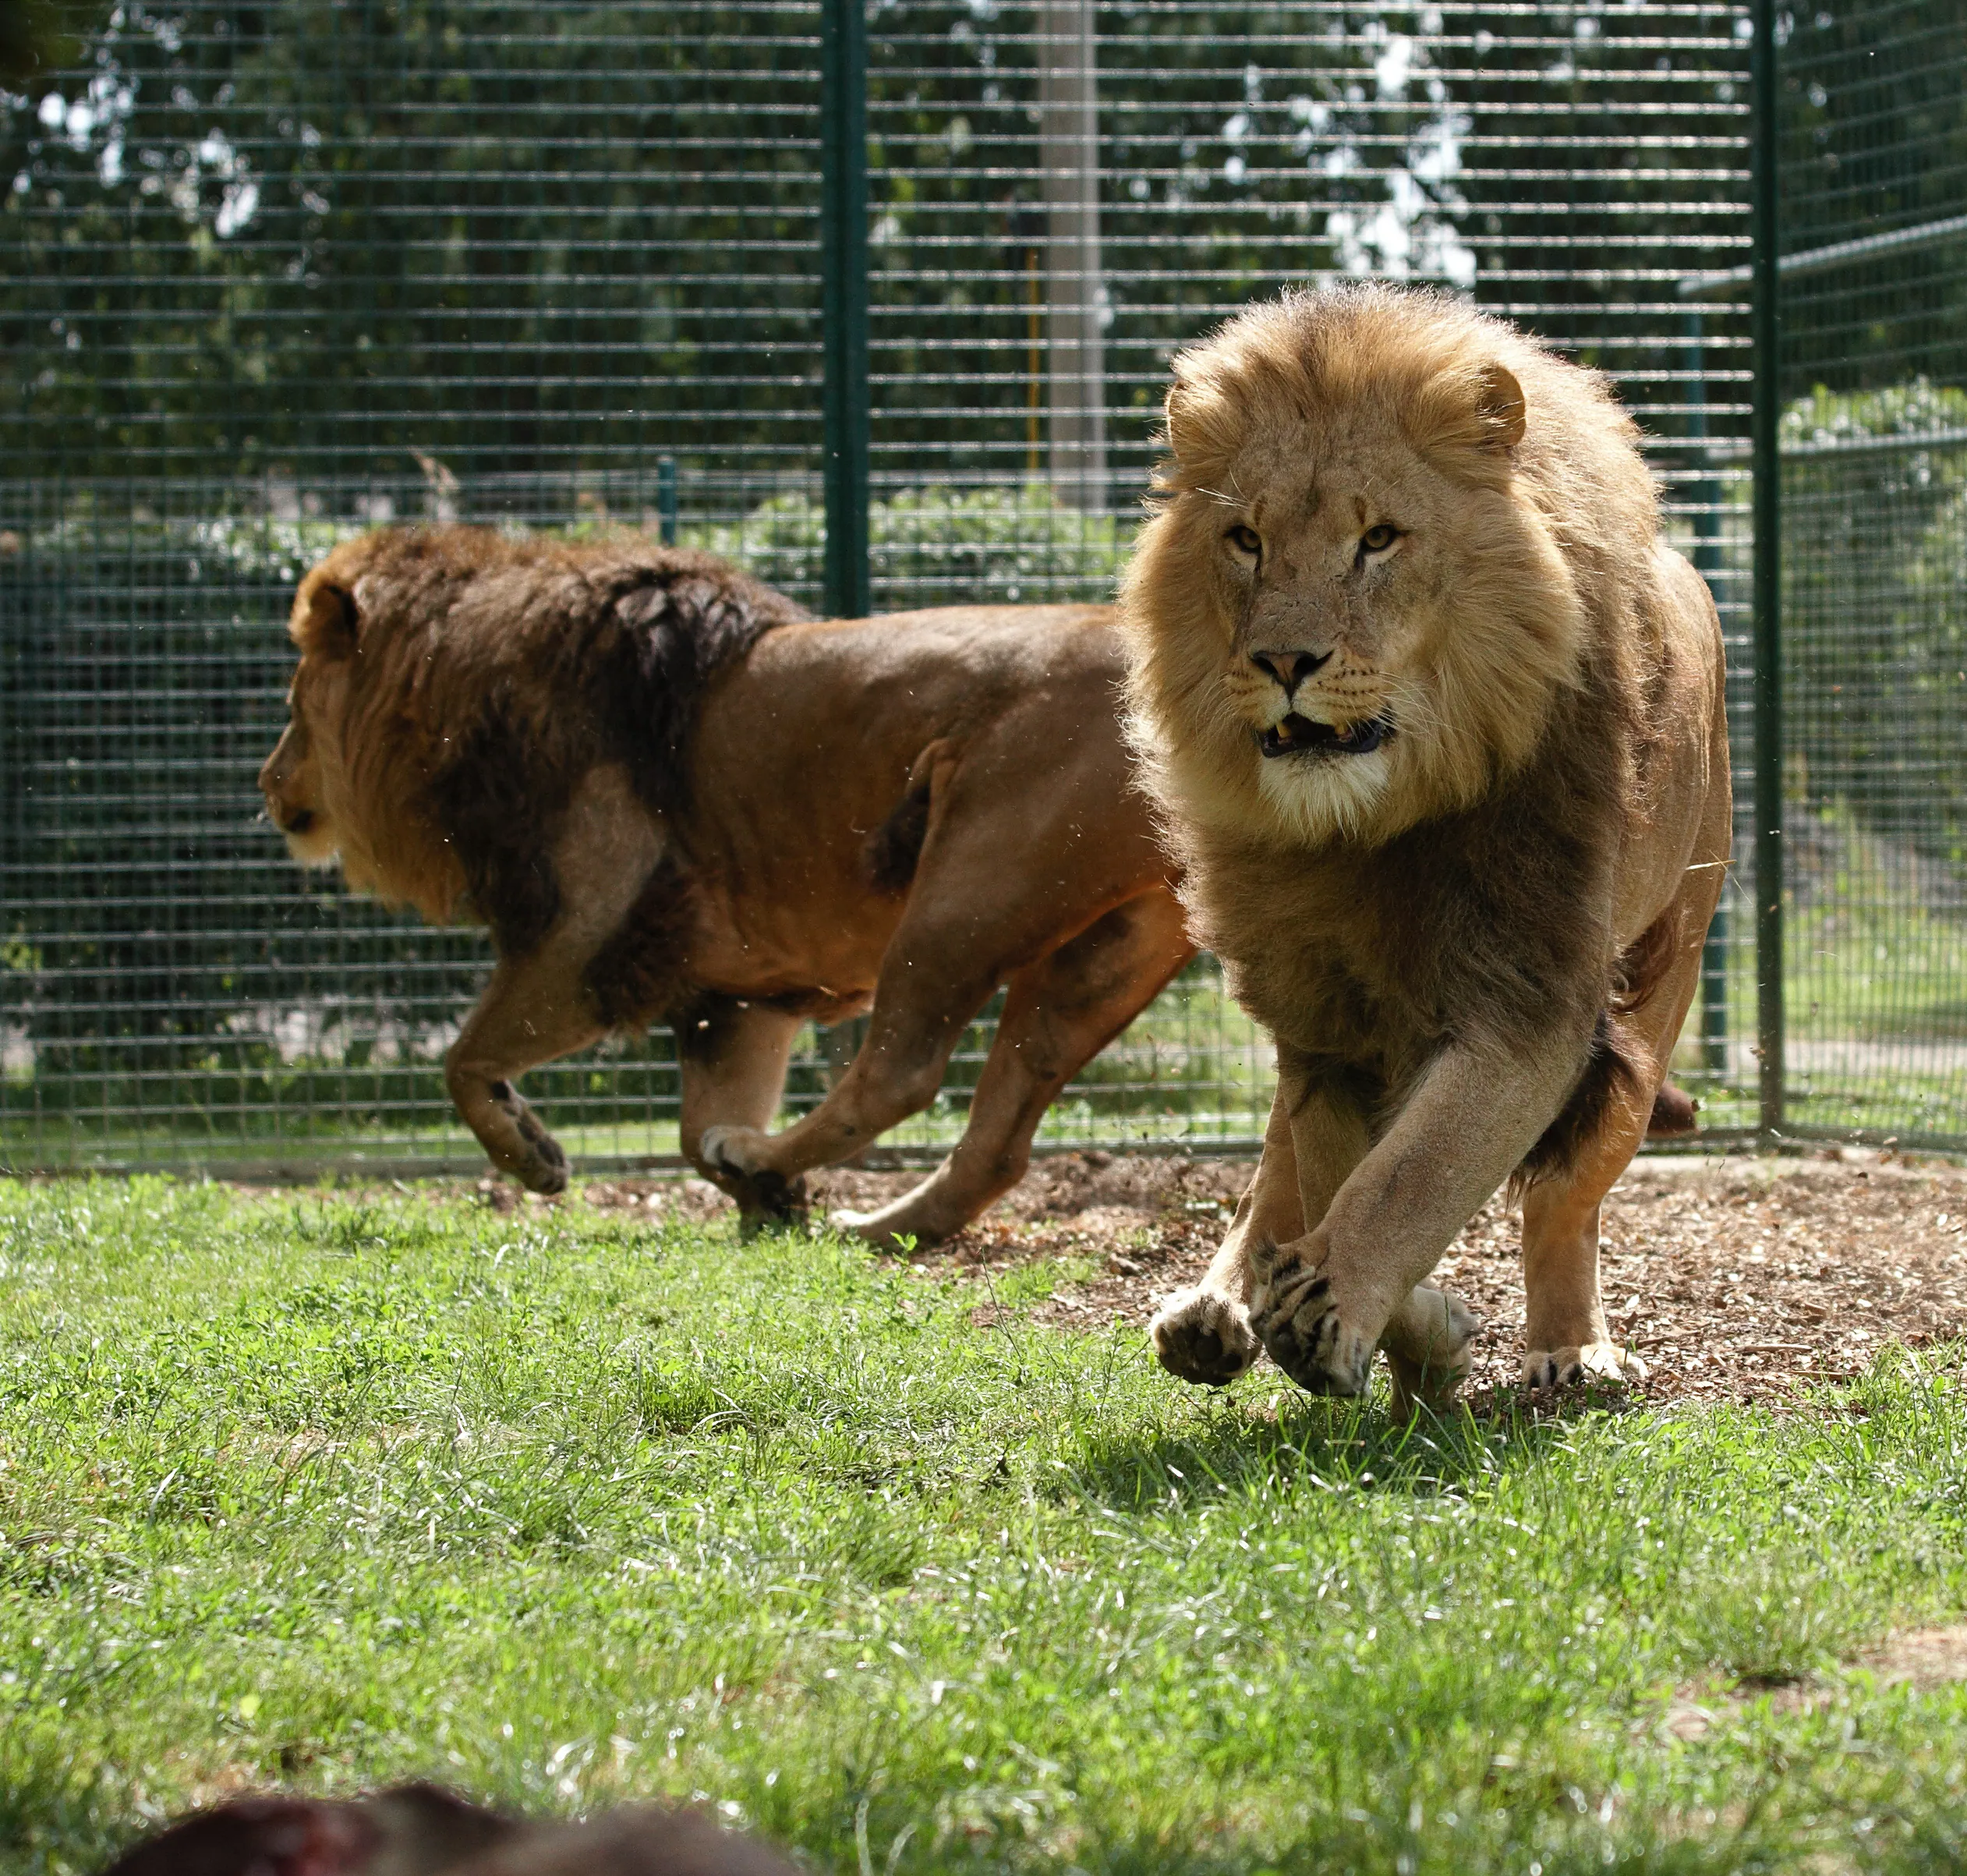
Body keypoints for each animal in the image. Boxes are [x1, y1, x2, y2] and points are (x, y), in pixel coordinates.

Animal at [257, 526, 1197, 1246]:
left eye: (294, 709)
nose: (267, 784)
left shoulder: (595, 927)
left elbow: (463, 1062)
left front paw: (535, 1157)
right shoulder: (738, 998)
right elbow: (678, 1132)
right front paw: (772, 1207)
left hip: (969, 884)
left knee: (898, 1076)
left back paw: (757, 1154)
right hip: (1105, 948)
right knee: (995, 1140)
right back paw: (878, 1225)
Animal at [1119, 284, 1731, 1411]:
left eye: (1379, 539)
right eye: (1244, 540)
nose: (1283, 661)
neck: (1366, 829)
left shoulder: (1528, 988)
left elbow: (1419, 1170)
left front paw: (1362, 1324)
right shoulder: (1318, 1008)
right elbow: (1339, 1170)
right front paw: (1412, 1333)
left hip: (1668, 961)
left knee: (1571, 1192)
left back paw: (1571, 1350)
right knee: (1274, 1164)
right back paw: (1216, 1310)